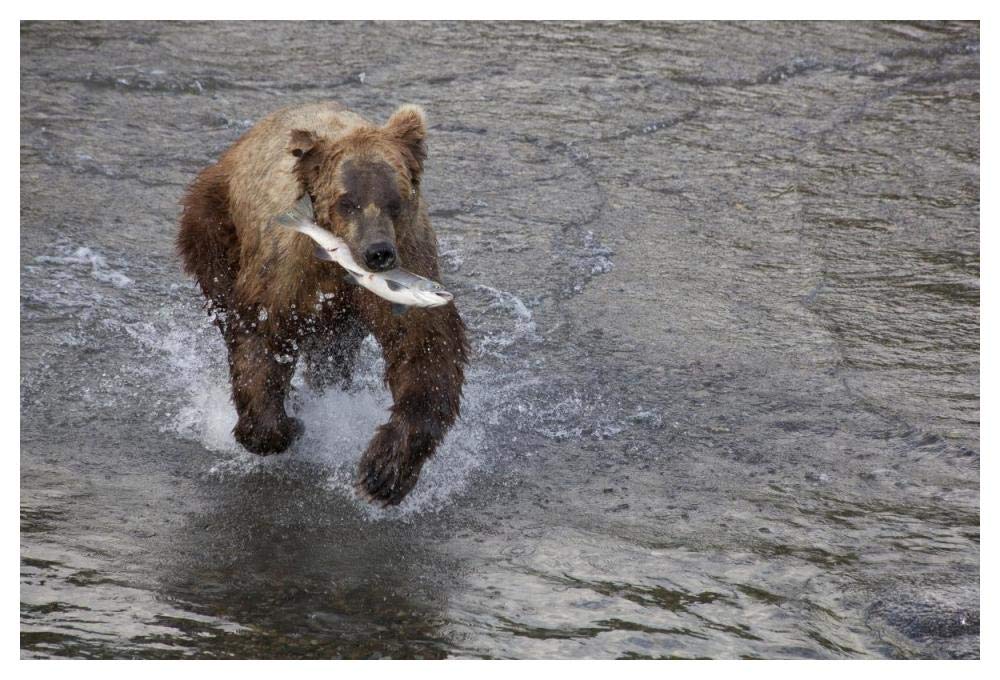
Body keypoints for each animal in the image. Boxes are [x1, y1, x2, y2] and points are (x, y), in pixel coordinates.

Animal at [177, 101, 469, 506]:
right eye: (347, 202)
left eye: (395, 200)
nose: (378, 252)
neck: (338, 266)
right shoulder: (287, 272)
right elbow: (261, 335)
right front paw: (283, 426)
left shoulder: (410, 260)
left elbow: (425, 350)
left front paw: (383, 471)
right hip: (216, 220)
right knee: (223, 292)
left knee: (333, 351)